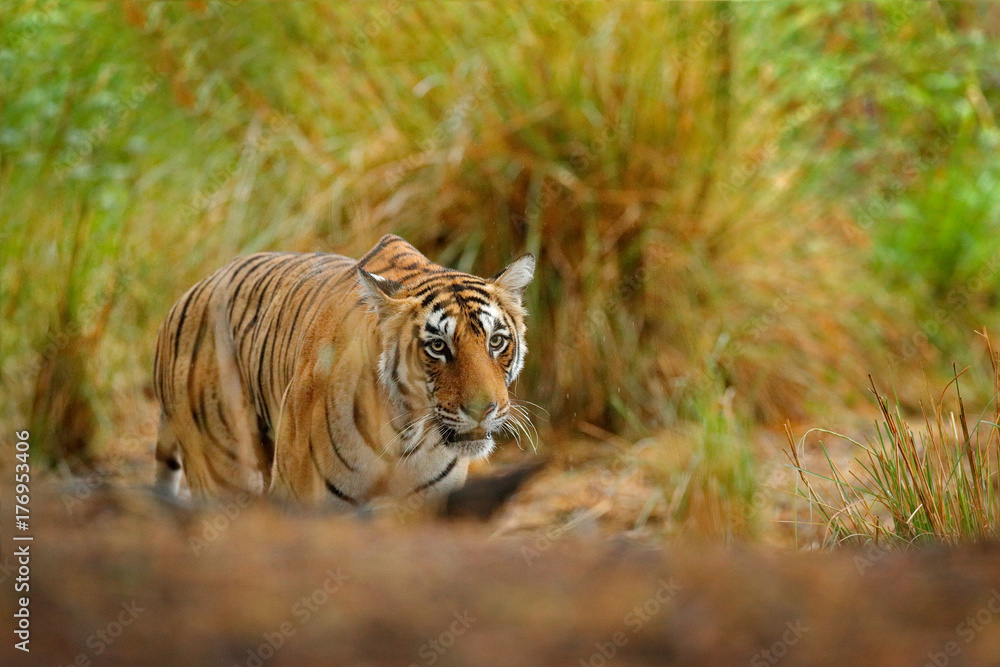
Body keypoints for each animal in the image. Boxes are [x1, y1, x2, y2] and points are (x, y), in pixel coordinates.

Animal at [152, 234, 535, 510]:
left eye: (496, 342)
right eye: (438, 346)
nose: (483, 411)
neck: (407, 435)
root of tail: (185, 297)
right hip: (226, 471)